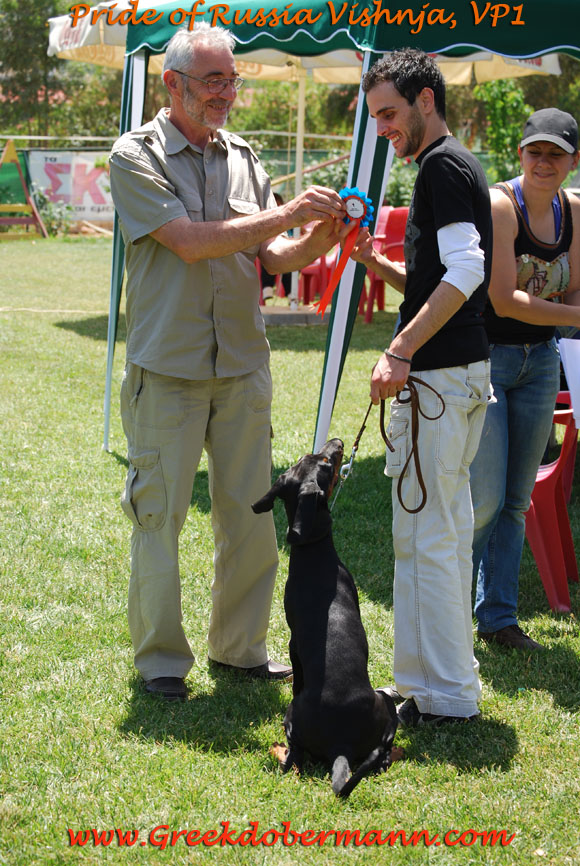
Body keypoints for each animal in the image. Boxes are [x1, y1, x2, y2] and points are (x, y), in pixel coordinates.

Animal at [252, 438, 398, 798]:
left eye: (314, 457)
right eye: (326, 463)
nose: (339, 442)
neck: (313, 551)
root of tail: (341, 744)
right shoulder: (293, 646)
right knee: (297, 757)